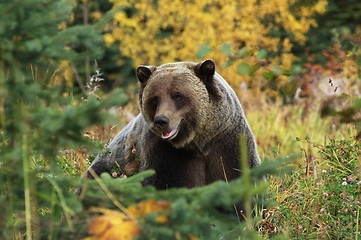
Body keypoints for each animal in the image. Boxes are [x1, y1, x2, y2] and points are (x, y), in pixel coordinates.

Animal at [86, 58, 260, 189]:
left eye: (178, 95)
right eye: (155, 98)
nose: (161, 120)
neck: (198, 143)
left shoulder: (229, 144)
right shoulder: (163, 154)